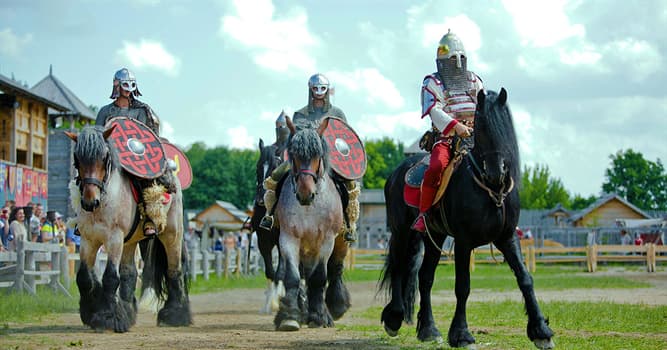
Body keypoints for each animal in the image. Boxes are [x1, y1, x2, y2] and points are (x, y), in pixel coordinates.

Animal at [378, 89, 556, 348]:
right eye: (481, 126)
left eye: (504, 125)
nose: (497, 172)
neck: (488, 188)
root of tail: (396, 174)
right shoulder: (463, 241)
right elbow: (463, 286)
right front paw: (461, 334)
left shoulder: (507, 238)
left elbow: (525, 278)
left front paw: (541, 330)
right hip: (402, 231)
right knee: (400, 268)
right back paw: (395, 318)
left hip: (434, 236)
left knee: (425, 277)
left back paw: (429, 330)